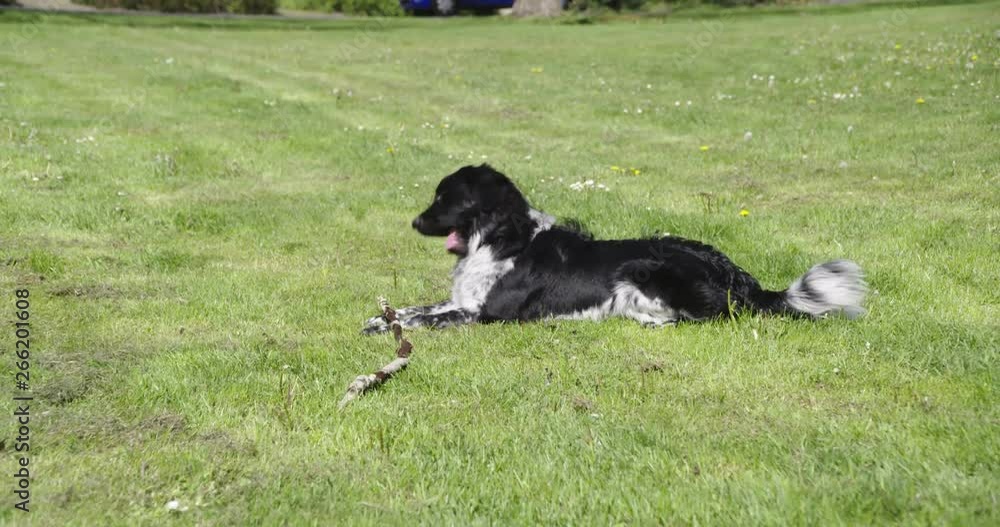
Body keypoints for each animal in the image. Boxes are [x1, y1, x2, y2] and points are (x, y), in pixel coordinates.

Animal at [362, 164, 866, 334]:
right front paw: (381, 318)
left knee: (711, 316)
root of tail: (738, 275)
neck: (500, 239)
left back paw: (647, 320)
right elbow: (413, 309)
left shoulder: (485, 313)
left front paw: (385, 327)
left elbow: (427, 319)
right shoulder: (463, 300)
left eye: (444, 198)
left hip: (647, 270)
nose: (414, 222)